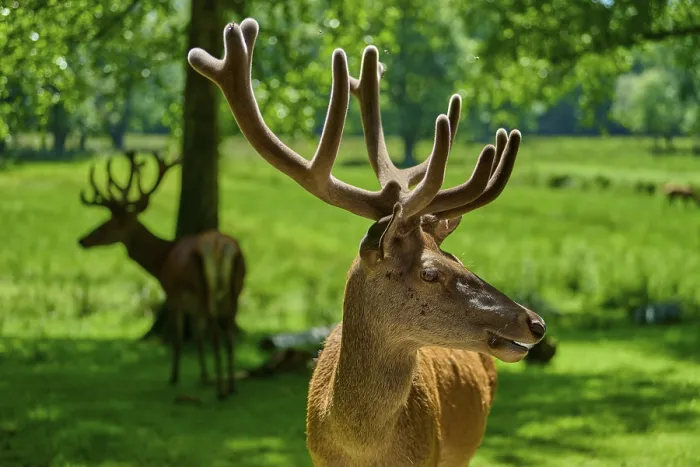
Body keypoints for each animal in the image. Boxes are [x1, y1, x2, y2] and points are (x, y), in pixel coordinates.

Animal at [78, 150, 246, 400]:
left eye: (106, 224)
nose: (82, 240)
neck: (162, 260)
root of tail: (220, 246)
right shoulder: (192, 304)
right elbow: (197, 337)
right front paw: (203, 376)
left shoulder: (174, 295)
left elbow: (179, 338)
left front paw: (175, 377)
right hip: (235, 288)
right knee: (230, 334)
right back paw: (231, 385)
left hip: (203, 289)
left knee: (216, 334)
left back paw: (221, 390)